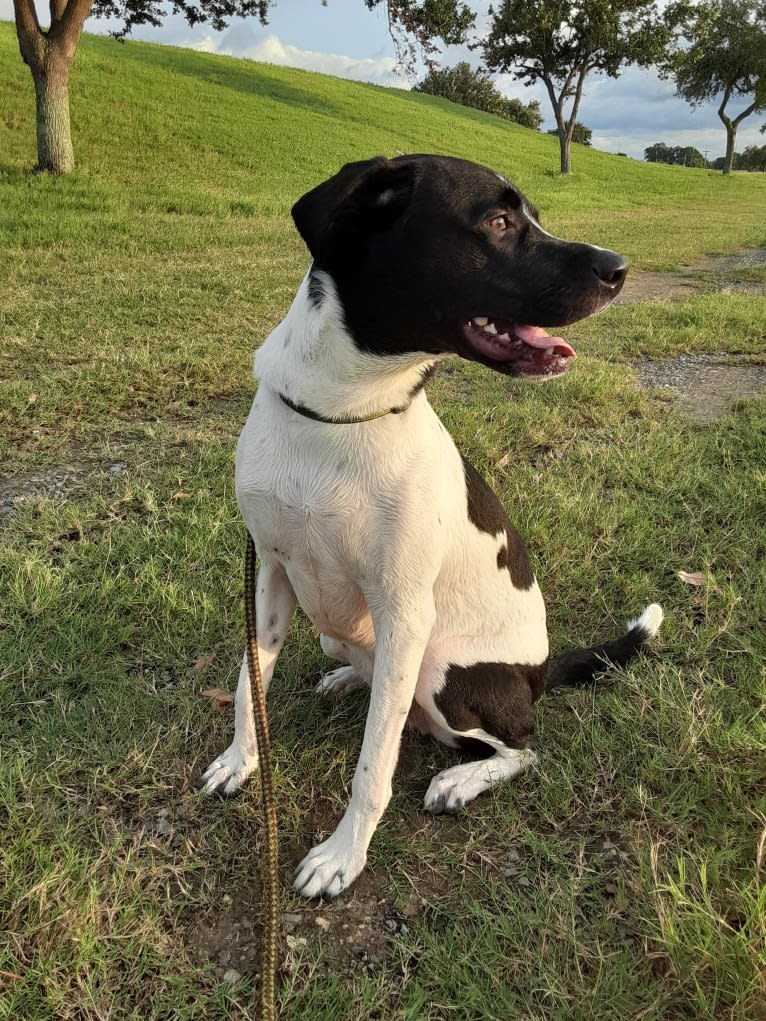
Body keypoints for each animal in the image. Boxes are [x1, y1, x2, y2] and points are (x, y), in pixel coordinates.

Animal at [201, 155, 661, 898]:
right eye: (498, 221)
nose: (618, 268)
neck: (341, 412)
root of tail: (538, 674)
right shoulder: (269, 576)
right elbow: (250, 685)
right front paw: (241, 758)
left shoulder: (405, 611)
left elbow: (373, 767)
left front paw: (342, 855)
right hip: (353, 637)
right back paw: (348, 678)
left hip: (443, 667)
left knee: (522, 747)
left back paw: (462, 777)